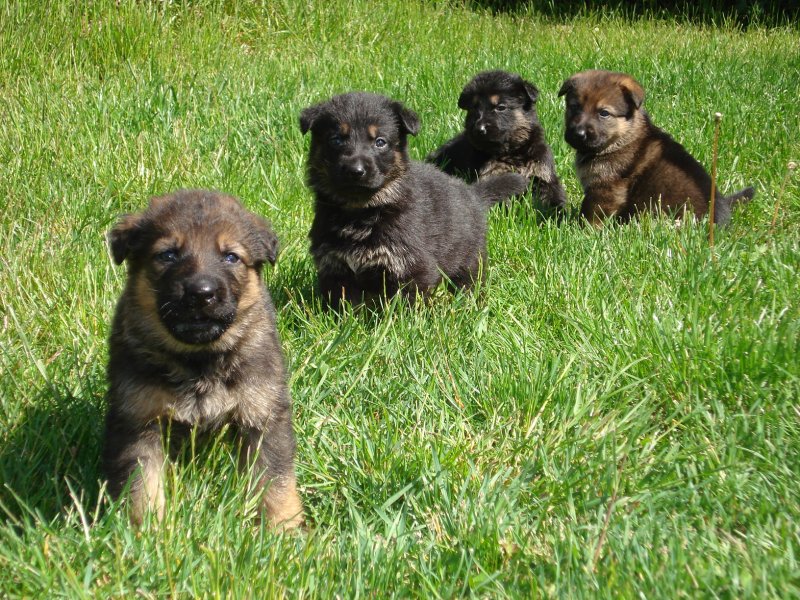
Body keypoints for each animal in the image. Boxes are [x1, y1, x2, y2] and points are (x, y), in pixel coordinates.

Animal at [103, 189, 303, 529]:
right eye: (168, 255)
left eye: (231, 257)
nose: (201, 293)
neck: (198, 361)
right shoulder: (138, 419)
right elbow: (142, 484)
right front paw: (147, 531)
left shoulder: (262, 412)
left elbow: (276, 478)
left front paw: (283, 529)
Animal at [299, 92, 528, 308]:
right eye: (336, 140)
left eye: (380, 142)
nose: (356, 171)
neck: (361, 211)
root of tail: (472, 193)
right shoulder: (335, 269)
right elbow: (344, 306)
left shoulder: (411, 266)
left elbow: (406, 305)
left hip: (469, 259)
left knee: (469, 283)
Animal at [427, 70, 567, 213]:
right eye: (474, 108)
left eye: (501, 107)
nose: (479, 129)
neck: (513, 152)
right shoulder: (494, 176)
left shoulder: (543, 174)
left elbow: (553, 197)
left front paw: (558, 214)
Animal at [558, 69, 754, 225]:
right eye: (574, 107)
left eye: (604, 113)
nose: (578, 134)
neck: (622, 138)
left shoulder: (606, 190)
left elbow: (591, 215)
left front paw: (583, 231)